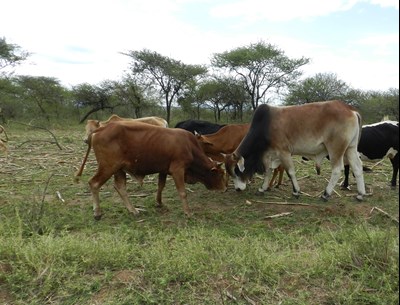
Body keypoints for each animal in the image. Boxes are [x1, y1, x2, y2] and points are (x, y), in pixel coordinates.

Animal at [75, 121, 228, 218]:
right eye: (220, 175)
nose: (225, 189)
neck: (190, 147)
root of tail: (101, 128)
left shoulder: (164, 170)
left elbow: (161, 186)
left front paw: (159, 202)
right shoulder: (178, 170)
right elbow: (183, 192)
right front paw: (188, 212)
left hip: (119, 169)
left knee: (120, 187)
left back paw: (133, 210)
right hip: (108, 167)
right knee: (94, 183)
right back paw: (97, 212)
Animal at [225, 99, 366, 200]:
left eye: (236, 170)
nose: (237, 189)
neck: (264, 126)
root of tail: (350, 109)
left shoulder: (284, 152)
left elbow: (290, 172)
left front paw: (296, 192)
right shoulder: (269, 155)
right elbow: (268, 171)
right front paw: (262, 188)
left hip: (335, 149)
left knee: (337, 169)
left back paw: (326, 194)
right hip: (350, 148)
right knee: (357, 167)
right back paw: (360, 194)